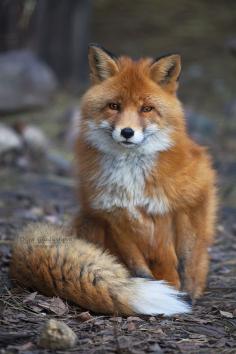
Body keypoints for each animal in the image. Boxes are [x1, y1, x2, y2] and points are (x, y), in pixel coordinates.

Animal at [11, 43, 218, 316]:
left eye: (146, 109)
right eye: (114, 106)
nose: (127, 132)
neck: (131, 178)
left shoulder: (186, 202)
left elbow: (181, 260)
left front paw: (183, 292)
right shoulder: (112, 215)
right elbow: (138, 266)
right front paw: (160, 291)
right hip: (90, 221)